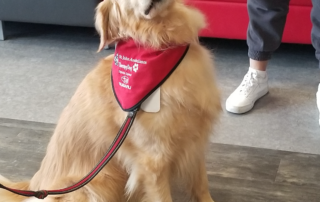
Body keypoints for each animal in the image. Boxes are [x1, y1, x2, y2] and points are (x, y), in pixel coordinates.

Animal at [0, 0, 220, 201]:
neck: (160, 42)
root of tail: (35, 186)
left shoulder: (195, 140)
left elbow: (201, 187)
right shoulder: (154, 161)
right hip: (95, 185)